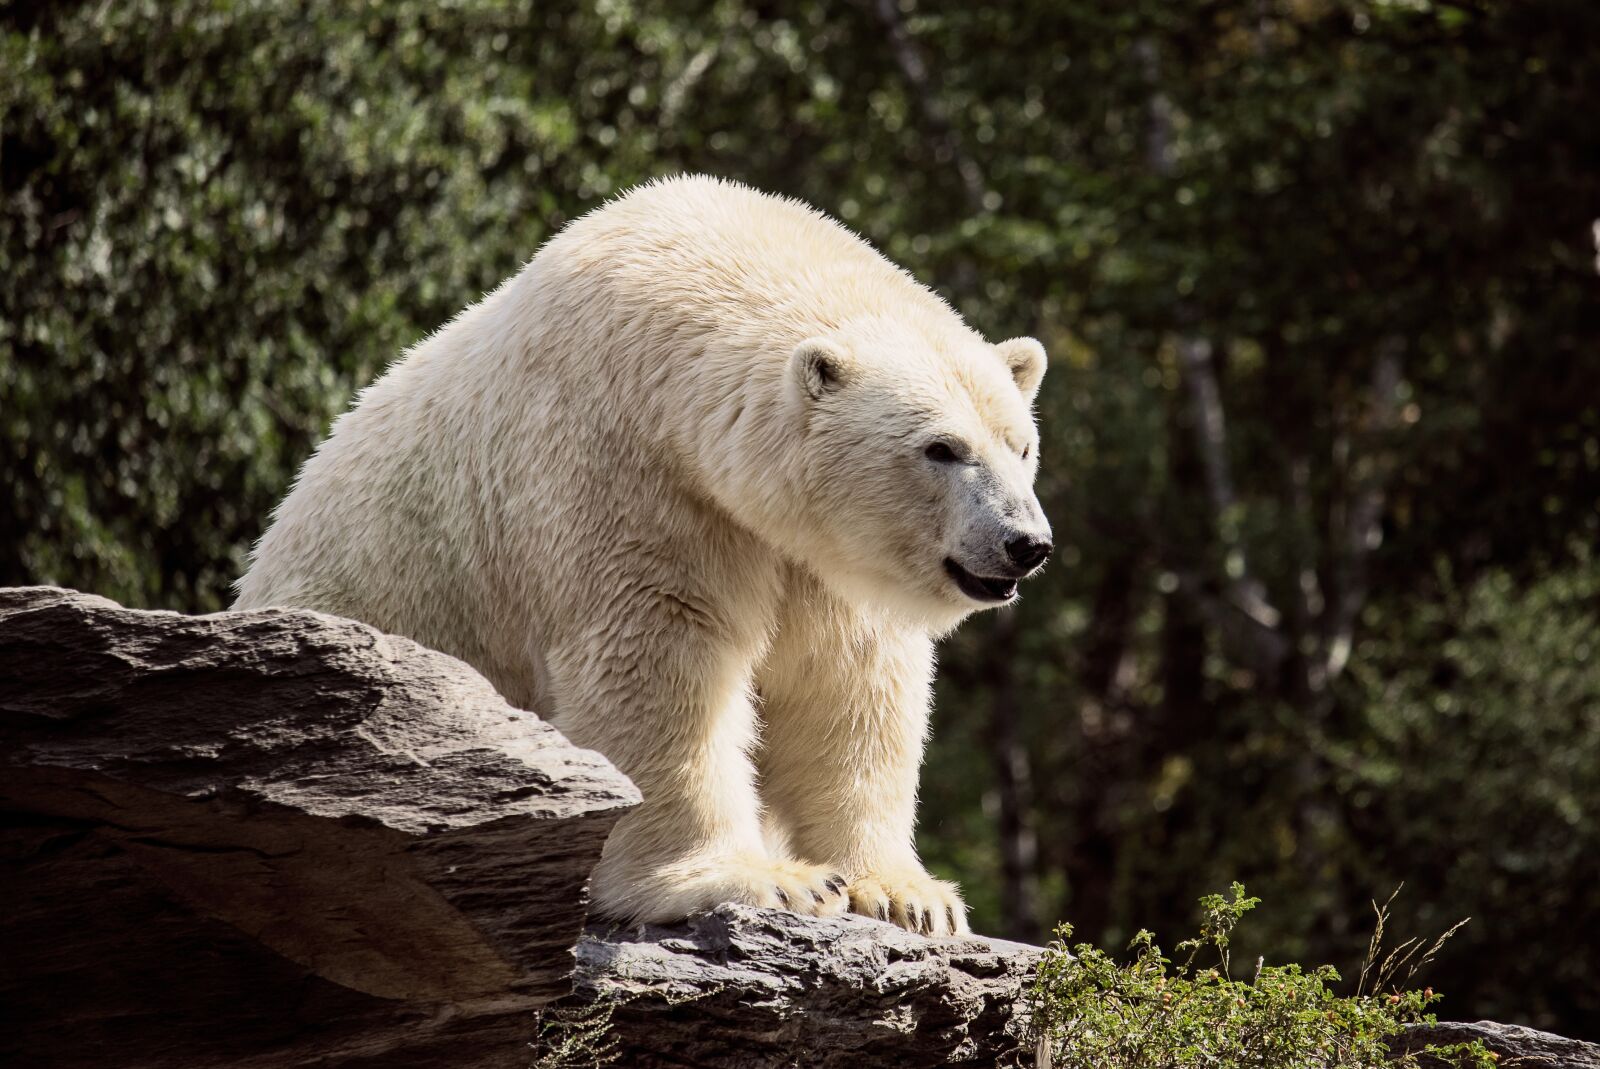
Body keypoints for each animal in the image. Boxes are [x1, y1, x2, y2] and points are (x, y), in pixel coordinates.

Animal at [234, 175, 1052, 936]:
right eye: (941, 448)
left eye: (1020, 445)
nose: (1026, 543)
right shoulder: (622, 468)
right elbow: (659, 658)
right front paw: (762, 880)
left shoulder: (811, 551)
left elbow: (848, 681)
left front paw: (908, 895)